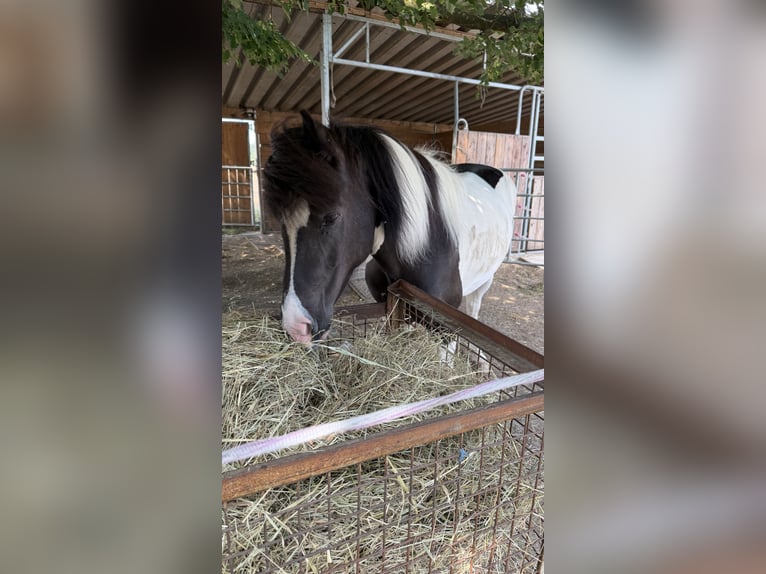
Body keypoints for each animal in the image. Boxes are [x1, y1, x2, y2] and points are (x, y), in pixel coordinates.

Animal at [263, 111, 517, 343]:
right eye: (282, 221)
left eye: (331, 217)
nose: (296, 326)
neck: (427, 246)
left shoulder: (446, 330)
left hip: (484, 282)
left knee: (474, 307)